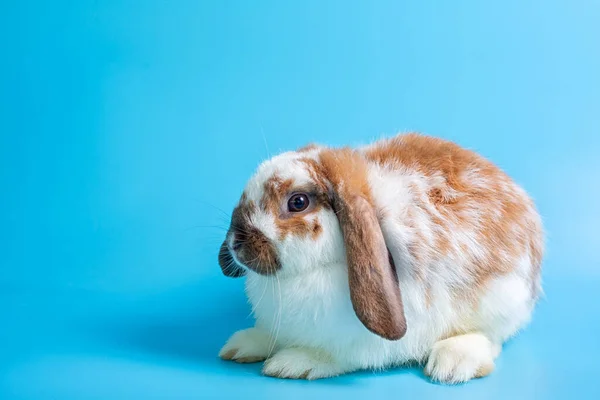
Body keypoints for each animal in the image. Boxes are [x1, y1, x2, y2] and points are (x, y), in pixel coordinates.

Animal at [217, 133, 544, 382]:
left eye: (298, 202)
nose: (236, 242)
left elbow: (335, 355)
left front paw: (295, 361)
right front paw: (245, 343)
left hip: (500, 301)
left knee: (491, 338)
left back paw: (452, 363)